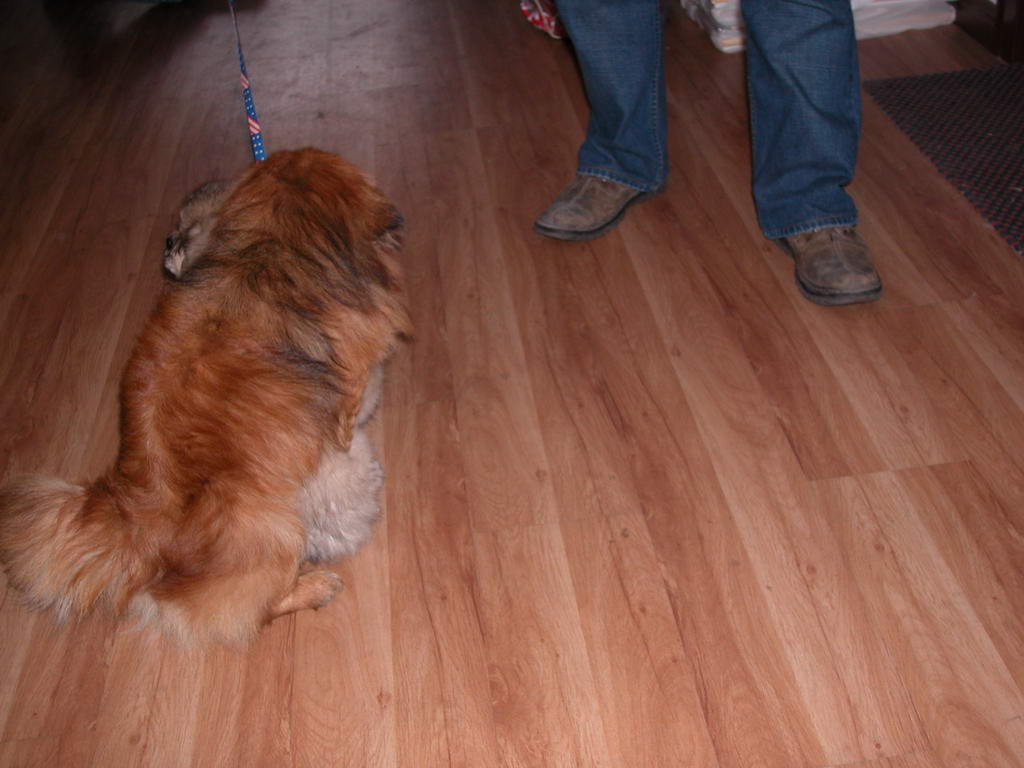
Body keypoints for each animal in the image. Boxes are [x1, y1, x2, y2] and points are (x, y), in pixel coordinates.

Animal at [0, 148, 411, 644]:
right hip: (276, 529)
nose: (167, 243)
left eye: (185, 227)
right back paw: (315, 585)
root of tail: (137, 530)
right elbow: (350, 450)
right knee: (254, 608)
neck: (265, 255)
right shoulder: (348, 403)